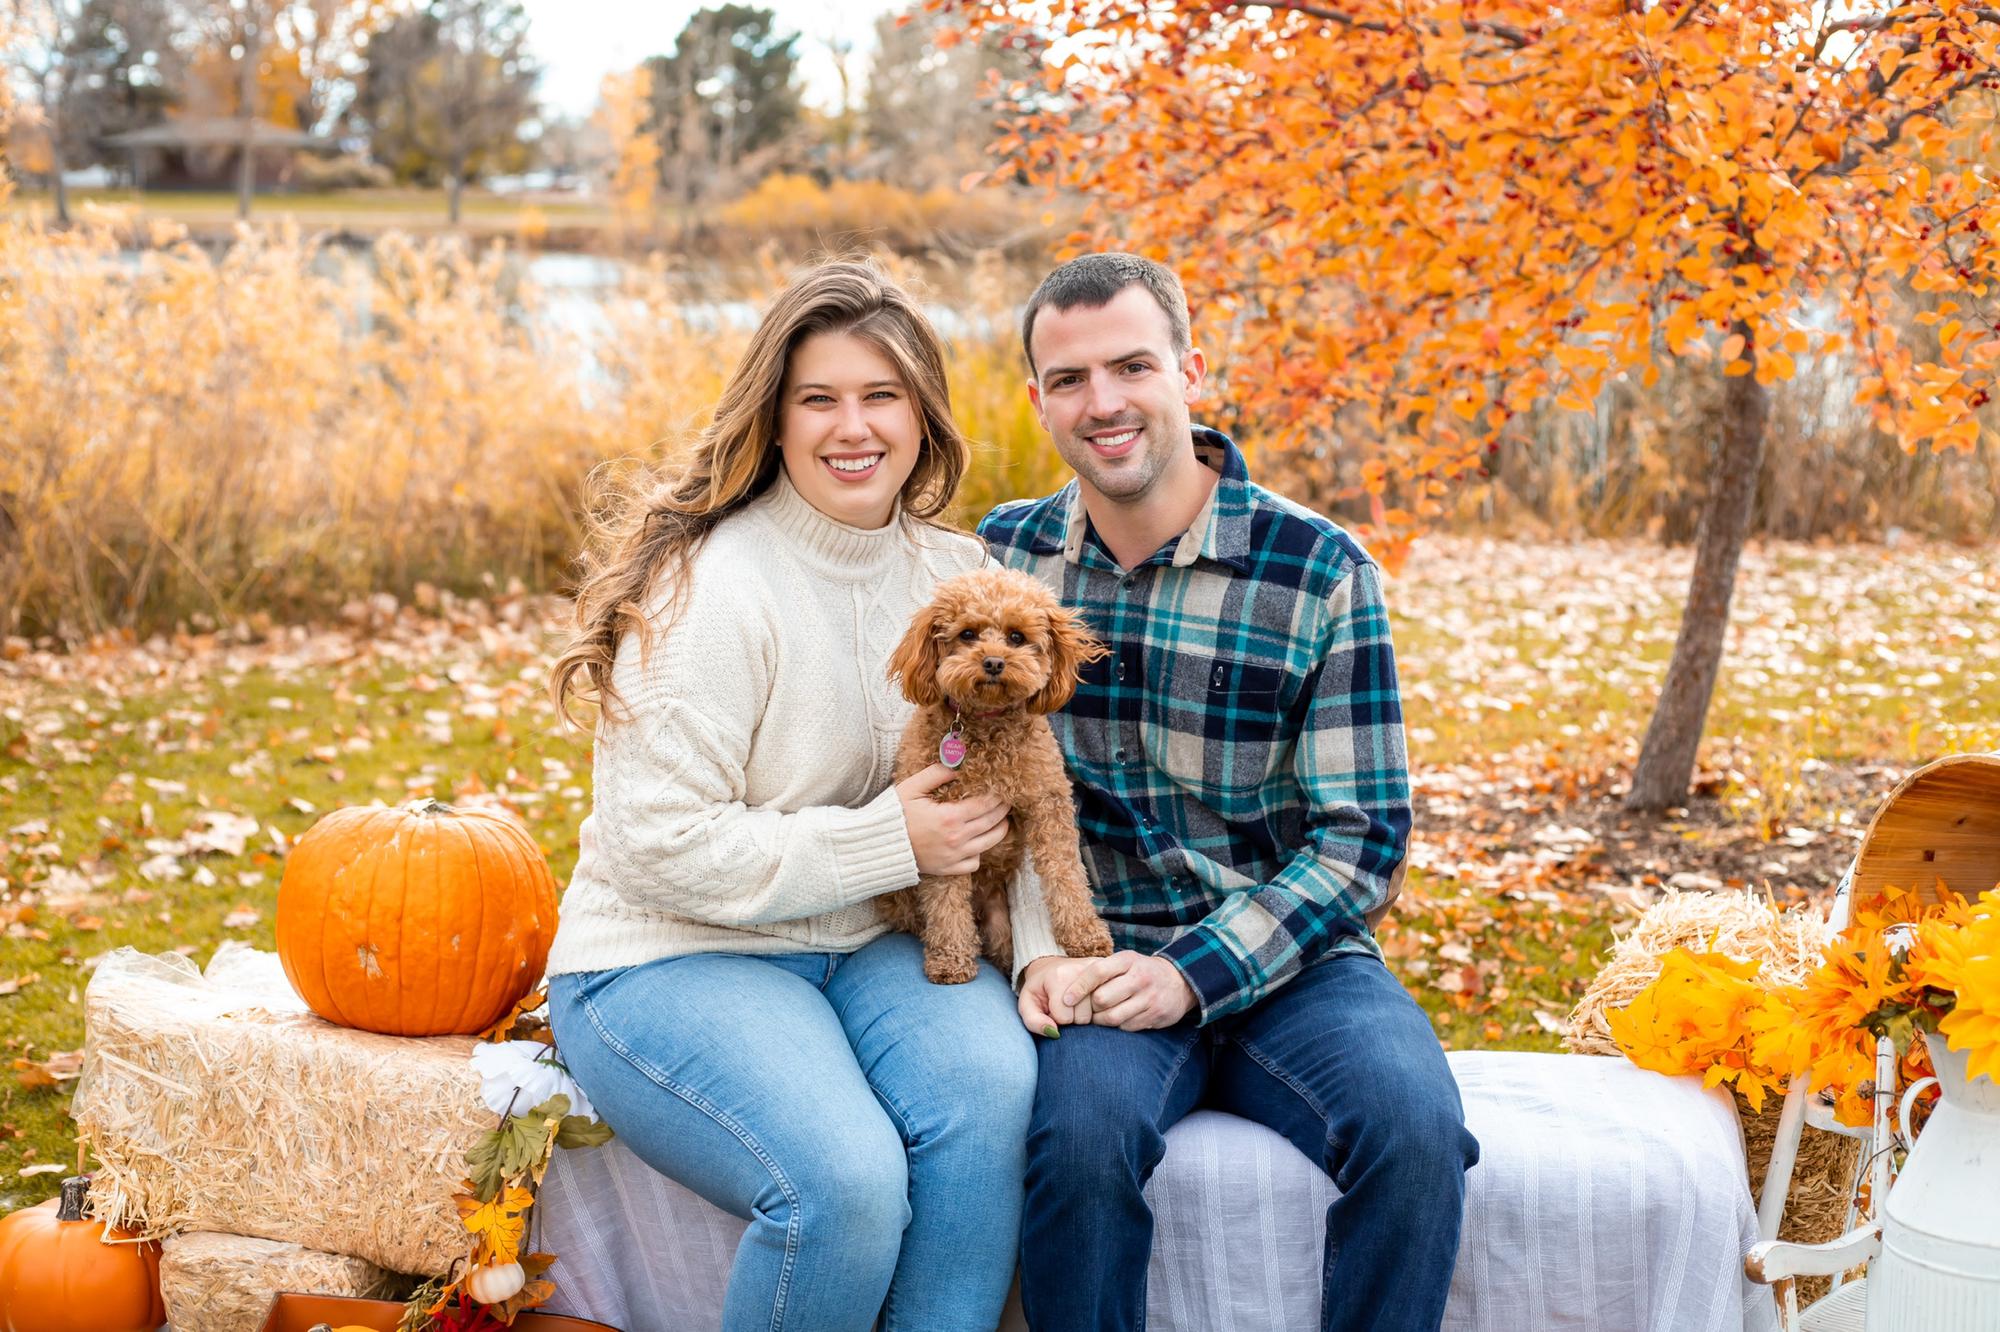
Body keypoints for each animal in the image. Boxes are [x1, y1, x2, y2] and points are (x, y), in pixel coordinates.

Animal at [880, 564, 1120, 980]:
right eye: (967, 634)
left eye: (1016, 636)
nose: (993, 662)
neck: (987, 726)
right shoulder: (947, 831)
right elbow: (945, 899)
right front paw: (951, 959)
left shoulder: (1048, 804)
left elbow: (1066, 872)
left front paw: (1084, 935)